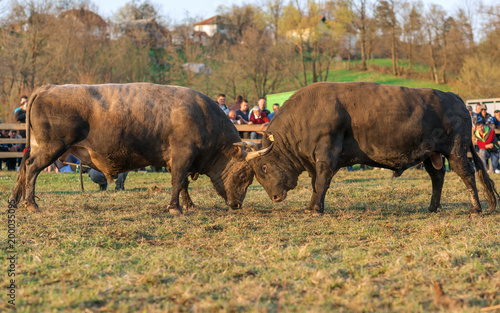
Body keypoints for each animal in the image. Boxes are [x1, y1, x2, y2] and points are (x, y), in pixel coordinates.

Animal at [8, 83, 254, 214]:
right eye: (243, 175)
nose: (237, 205)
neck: (204, 118)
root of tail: (48, 88)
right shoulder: (182, 155)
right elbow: (178, 182)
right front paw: (175, 208)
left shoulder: (179, 160)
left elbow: (183, 183)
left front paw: (189, 205)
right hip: (52, 147)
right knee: (32, 169)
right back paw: (31, 204)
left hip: (39, 147)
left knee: (24, 167)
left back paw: (14, 200)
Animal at [246, 81, 500, 214]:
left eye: (264, 168)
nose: (275, 197)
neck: (306, 116)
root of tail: (454, 97)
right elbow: (317, 182)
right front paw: (316, 205)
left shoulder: (326, 154)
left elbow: (321, 181)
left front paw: (313, 208)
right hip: (432, 154)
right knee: (437, 177)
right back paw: (432, 207)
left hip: (456, 151)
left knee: (467, 174)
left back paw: (475, 209)